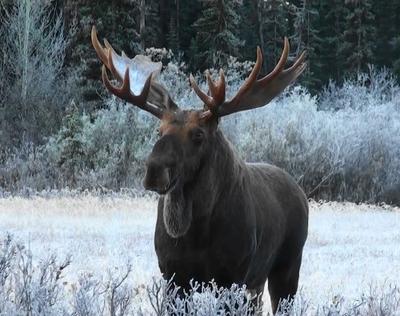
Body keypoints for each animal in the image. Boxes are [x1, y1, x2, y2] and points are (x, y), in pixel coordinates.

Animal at [91, 27, 310, 314]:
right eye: (158, 130)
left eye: (198, 135)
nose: (154, 171)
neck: (196, 233)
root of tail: (300, 193)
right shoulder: (172, 275)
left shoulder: (233, 276)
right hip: (258, 280)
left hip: (288, 264)